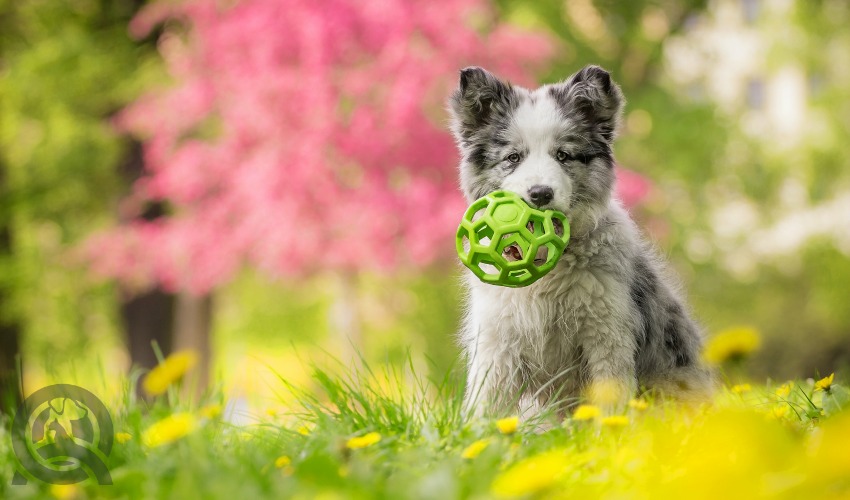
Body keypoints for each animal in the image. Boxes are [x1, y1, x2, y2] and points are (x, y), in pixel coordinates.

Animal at [448, 65, 712, 418]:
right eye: (513, 157)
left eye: (563, 155)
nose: (540, 194)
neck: (545, 271)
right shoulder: (497, 340)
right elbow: (486, 405)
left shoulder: (608, 334)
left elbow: (611, 398)